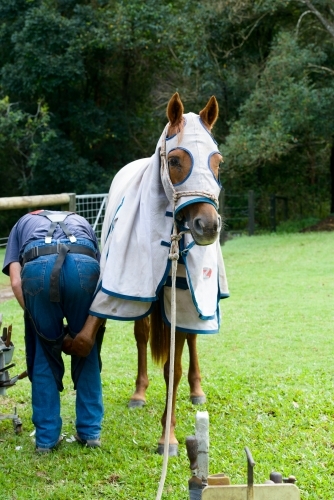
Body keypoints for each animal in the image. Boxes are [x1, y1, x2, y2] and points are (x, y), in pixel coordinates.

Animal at [90, 94, 228, 458]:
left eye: (217, 162)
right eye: (177, 159)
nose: (208, 226)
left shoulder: (182, 297)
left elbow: (174, 368)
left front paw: (168, 435)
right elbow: (151, 349)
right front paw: (167, 434)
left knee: (193, 340)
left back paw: (197, 390)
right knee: (141, 336)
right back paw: (138, 394)